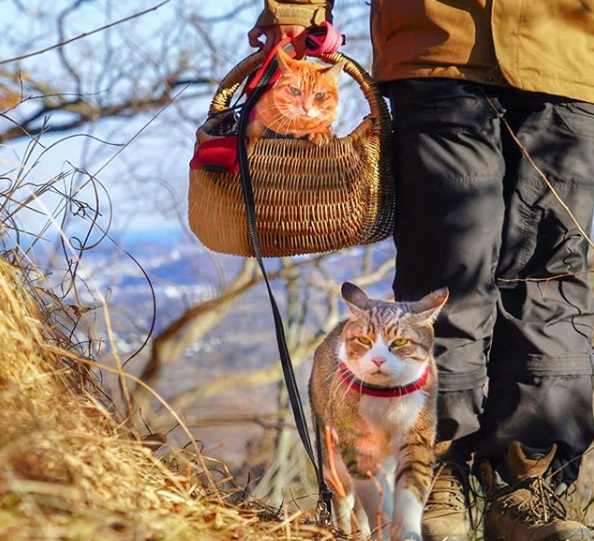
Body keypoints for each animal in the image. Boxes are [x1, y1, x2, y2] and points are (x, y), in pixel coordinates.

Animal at [308, 282, 446, 540]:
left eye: (400, 342)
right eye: (363, 339)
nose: (379, 360)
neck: (386, 396)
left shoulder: (416, 438)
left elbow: (410, 490)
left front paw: (407, 531)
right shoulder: (358, 448)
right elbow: (375, 499)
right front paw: (382, 529)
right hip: (330, 456)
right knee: (343, 498)